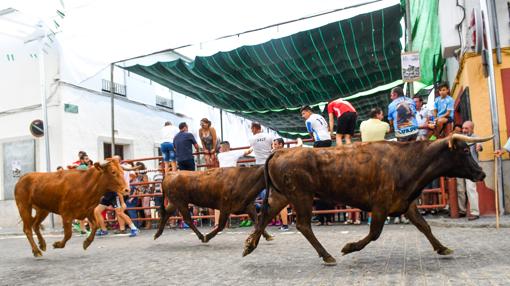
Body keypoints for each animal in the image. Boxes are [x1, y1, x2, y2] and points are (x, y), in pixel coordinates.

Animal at [153, 165, 284, 244]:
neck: (244, 180)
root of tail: (169, 174)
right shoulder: (225, 208)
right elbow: (220, 226)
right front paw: (208, 237)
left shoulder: (248, 206)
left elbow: (257, 222)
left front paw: (268, 236)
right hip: (181, 203)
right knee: (187, 219)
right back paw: (202, 236)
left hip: (174, 203)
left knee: (166, 214)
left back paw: (157, 234)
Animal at [244, 134, 494, 266]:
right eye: (464, 151)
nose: (481, 173)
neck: (407, 161)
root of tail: (280, 152)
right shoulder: (380, 205)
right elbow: (375, 233)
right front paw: (348, 247)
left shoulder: (405, 203)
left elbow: (424, 226)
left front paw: (442, 248)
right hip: (301, 196)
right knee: (303, 225)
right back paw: (327, 255)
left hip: (282, 195)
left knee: (265, 215)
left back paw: (249, 245)